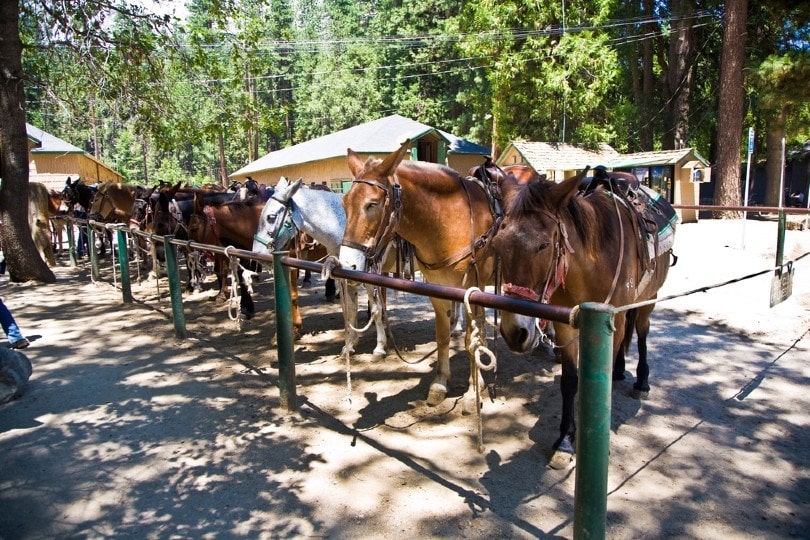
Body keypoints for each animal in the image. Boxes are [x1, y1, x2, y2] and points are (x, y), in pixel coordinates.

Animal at [254, 177, 390, 360]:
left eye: (271, 217)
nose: (257, 253)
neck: (342, 225)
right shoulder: (345, 273)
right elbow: (349, 309)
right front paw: (350, 345)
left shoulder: (368, 273)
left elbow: (375, 308)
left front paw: (379, 347)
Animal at [336, 138, 498, 410]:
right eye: (343, 203)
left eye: (372, 204)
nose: (347, 264)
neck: (453, 221)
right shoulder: (439, 291)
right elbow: (442, 336)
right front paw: (440, 384)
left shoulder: (474, 291)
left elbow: (472, 340)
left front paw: (473, 392)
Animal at [492, 170, 676, 468]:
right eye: (498, 244)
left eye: (544, 244)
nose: (514, 333)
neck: (591, 265)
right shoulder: (564, 324)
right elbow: (569, 381)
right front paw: (566, 439)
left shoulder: (616, 318)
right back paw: (621, 371)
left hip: (649, 298)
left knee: (642, 332)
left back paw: (641, 381)